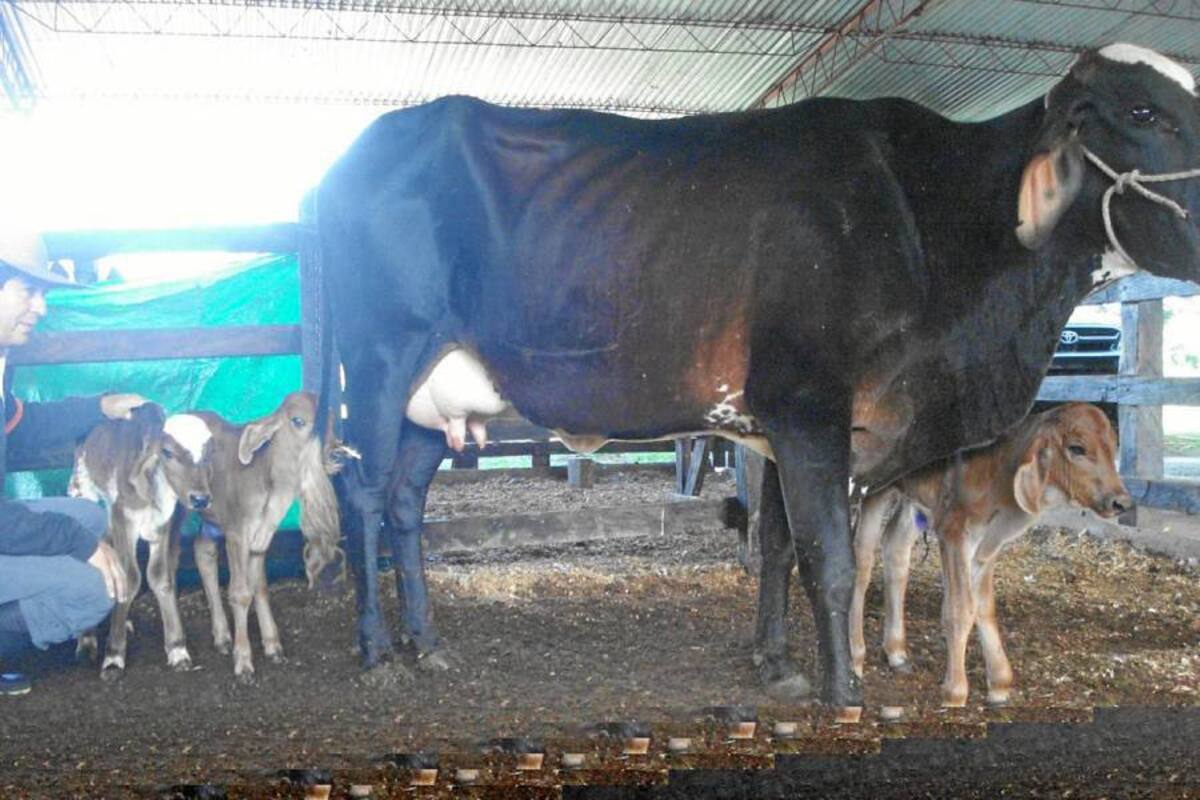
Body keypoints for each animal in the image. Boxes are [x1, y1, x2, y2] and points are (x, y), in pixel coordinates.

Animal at [69, 404, 214, 679]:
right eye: (167, 452)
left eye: (206, 452)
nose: (200, 498)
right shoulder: (123, 517)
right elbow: (129, 577)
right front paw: (114, 655)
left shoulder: (163, 522)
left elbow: (160, 576)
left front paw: (177, 648)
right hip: (84, 494)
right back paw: (87, 638)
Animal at [849, 403, 1131, 707]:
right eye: (1077, 448)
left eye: (1113, 446)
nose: (1121, 502)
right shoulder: (954, 531)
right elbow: (960, 608)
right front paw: (955, 691)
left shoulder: (988, 544)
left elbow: (984, 606)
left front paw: (999, 683)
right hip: (875, 490)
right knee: (861, 561)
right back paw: (855, 656)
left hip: (912, 501)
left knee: (896, 549)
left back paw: (896, 652)